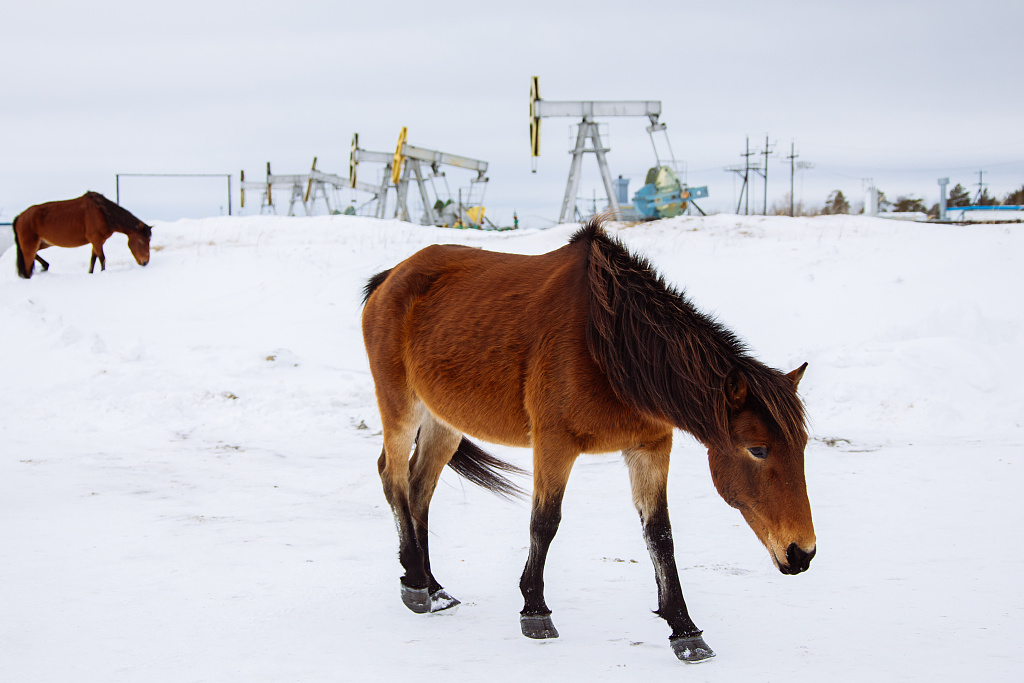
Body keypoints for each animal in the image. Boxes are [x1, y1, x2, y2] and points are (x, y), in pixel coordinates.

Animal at [12, 191, 152, 279]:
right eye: (142, 241)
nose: (145, 262)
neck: (103, 213)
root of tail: (20, 217)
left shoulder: (97, 242)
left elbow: (93, 260)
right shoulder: (96, 240)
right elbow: (102, 259)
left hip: (42, 243)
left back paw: (45, 266)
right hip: (30, 246)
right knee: (28, 267)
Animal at [360, 217, 815, 663]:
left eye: (803, 448)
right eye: (758, 450)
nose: (802, 553)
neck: (608, 348)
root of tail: (389, 278)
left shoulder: (650, 447)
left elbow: (660, 535)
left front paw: (684, 630)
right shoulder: (555, 444)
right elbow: (545, 522)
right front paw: (535, 612)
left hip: (444, 421)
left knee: (419, 488)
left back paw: (434, 587)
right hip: (402, 407)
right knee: (393, 478)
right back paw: (416, 585)